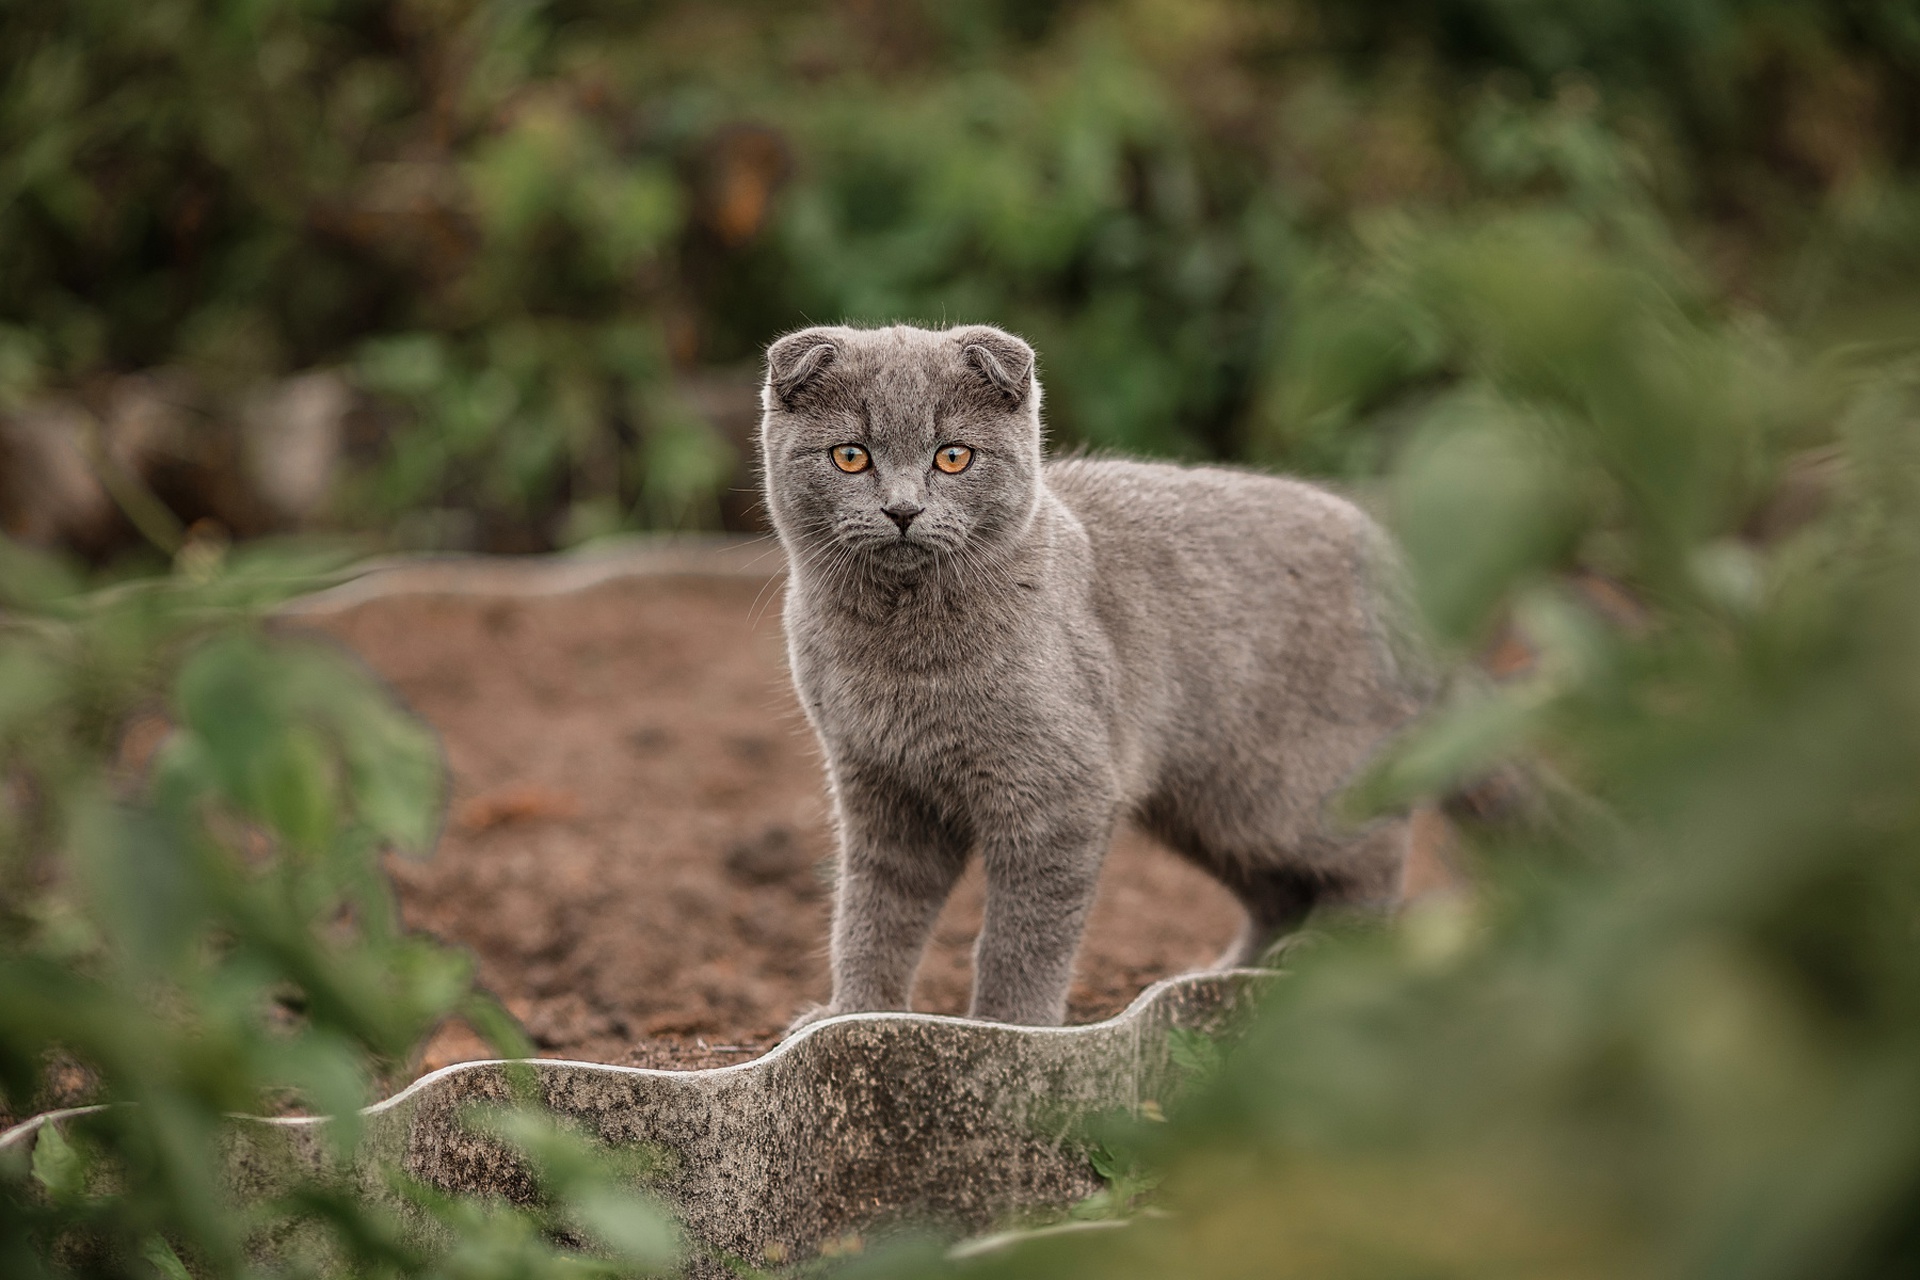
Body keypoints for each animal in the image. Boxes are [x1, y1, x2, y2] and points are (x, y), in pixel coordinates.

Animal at [756, 322, 1436, 1028]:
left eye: (953, 457)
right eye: (850, 457)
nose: (902, 509)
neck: (900, 654)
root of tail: (1395, 565)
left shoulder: (1061, 791)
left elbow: (1022, 935)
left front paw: (1007, 1029)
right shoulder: (878, 784)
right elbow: (873, 912)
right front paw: (851, 1014)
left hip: (1288, 793)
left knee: (1375, 856)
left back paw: (1324, 956)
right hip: (1206, 805)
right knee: (1278, 893)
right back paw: (1230, 972)